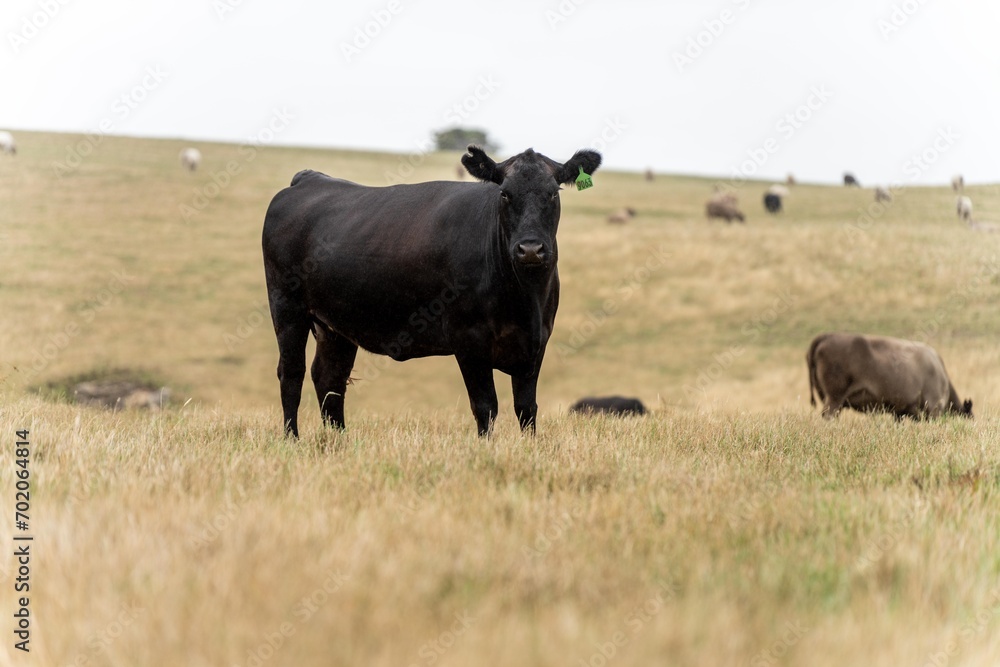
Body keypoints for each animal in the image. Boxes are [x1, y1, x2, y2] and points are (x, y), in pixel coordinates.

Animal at [260, 146, 600, 438]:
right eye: (504, 193)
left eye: (553, 193)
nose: (530, 249)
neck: (523, 298)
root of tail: (309, 178)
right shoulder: (469, 339)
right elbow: (486, 406)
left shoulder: (536, 340)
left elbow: (526, 408)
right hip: (286, 307)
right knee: (291, 373)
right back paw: (292, 440)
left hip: (336, 324)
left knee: (329, 378)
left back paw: (340, 441)